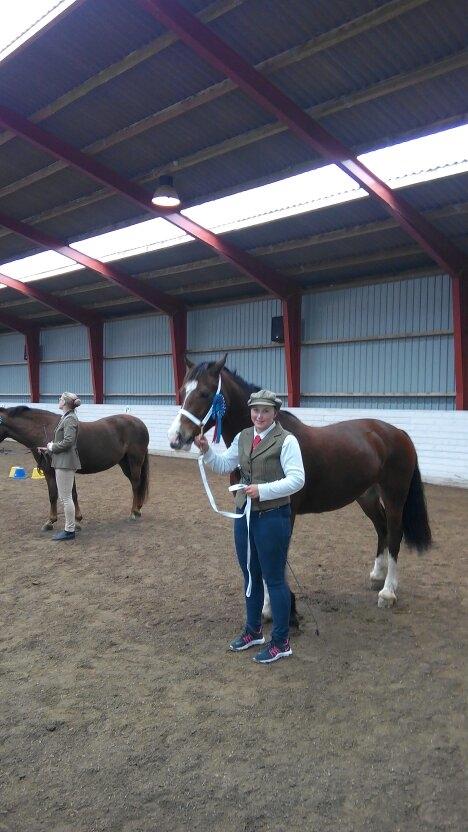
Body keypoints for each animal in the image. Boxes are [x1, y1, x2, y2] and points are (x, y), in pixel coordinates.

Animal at [0, 406, 150, 528]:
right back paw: (138, 509)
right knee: (135, 484)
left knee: (135, 484)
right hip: (124, 463)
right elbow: (53, 494)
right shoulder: (49, 471)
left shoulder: (64, 470)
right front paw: (50, 521)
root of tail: (140, 423)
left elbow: (72, 494)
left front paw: (76, 520)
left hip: (135, 460)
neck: (45, 430)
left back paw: (133, 513)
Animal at [167, 354, 432, 620]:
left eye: (204, 393)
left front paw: (270, 608)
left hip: (394, 496)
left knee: (394, 532)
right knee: (381, 528)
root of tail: (397, 432)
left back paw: (387, 592)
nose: (176, 438)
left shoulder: (286, 513)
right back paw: (377, 577)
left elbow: (274, 558)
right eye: (182, 391)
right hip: (366, 496)